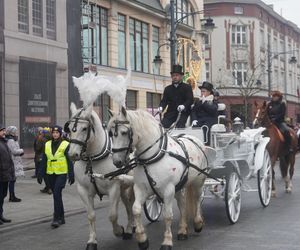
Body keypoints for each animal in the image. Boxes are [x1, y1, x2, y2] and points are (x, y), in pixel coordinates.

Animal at [67, 102, 136, 249]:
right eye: (69, 129)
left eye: (84, 128)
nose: (73, 154)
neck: (93, 159)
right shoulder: (83, 190)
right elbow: (91, 215)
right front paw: (92, 241)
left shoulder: (114, 188)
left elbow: (113, 215)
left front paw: (119, 230)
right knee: (128, 204)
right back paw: (131, 226)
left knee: (131, 203)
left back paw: (129, 228)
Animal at [108, 107, 216, 250]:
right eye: (110, 133)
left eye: (124, 132)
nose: (117, 161)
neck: (153, 156)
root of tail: (194, 139)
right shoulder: (140, 188)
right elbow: (136, 209)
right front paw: (142, 239)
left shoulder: (168, 190)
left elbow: (167, 215)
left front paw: (167, 241)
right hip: (180, 186)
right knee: (182, 204)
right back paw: (182, 230)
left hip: (198, 182)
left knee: (197, 199)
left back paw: (198, 223)